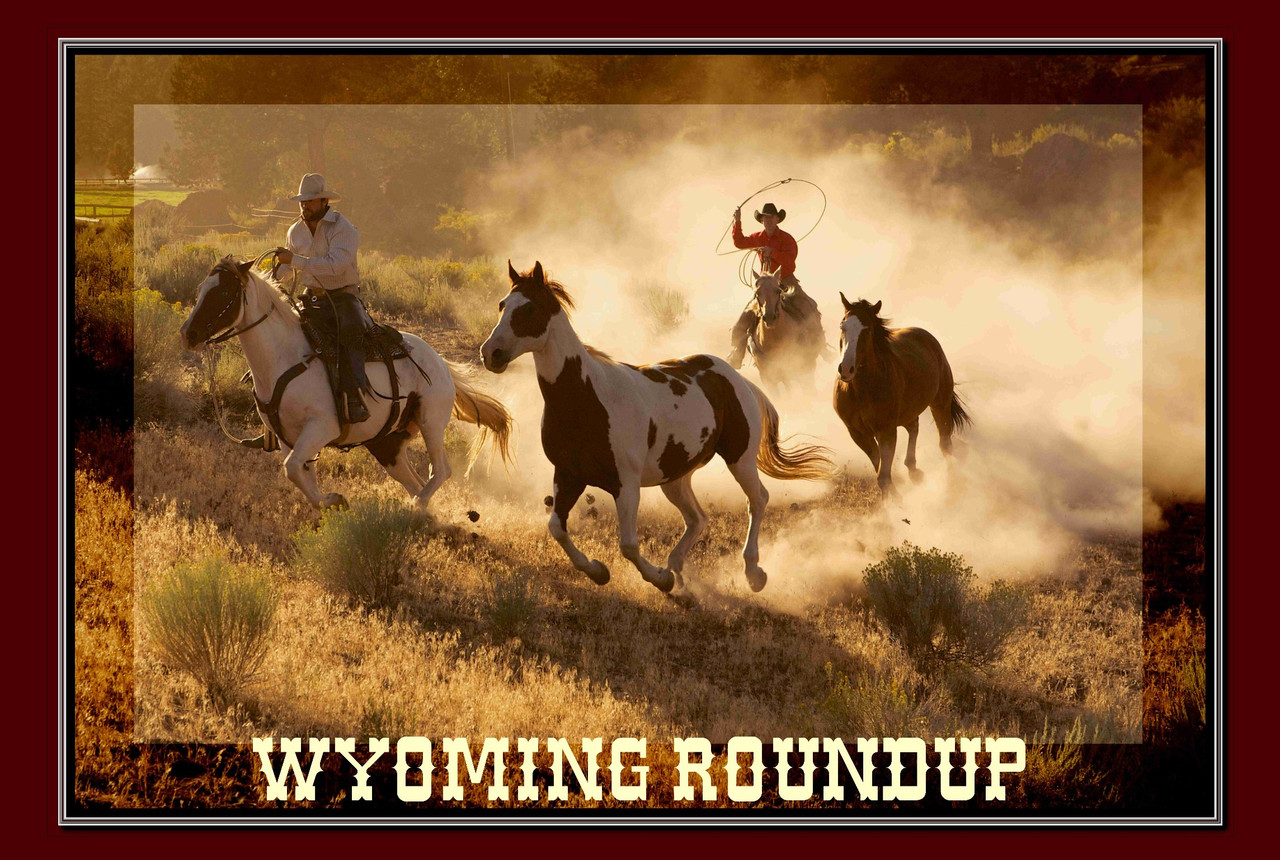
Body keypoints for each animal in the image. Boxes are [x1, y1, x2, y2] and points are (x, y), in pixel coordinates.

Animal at [183, 255, 512, 511]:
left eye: (222, 293)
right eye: (200, 290)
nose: (188, 333)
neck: (284, 358)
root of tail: (440, 362)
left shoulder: (321, 427)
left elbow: (291, 468)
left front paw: (334, 500)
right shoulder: (292, 438)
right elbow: (300, 472)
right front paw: (330, 503)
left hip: (430, 421)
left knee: (440, 471)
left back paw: (417, 506)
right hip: (387, 443)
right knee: (415, 480)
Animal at [478, 259, 829, 591]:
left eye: (529, 308)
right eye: (502, 305)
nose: (490, 353)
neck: (585, 397)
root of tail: (737, 380)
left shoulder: (626, 485)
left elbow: (628, 546)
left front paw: (660, 579)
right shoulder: (568, 475)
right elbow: (556, 528)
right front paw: (599, 571)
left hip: (739, 458)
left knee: (757, 500)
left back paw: (752, 572)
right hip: (675, 477)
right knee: (697, 519)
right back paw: (678, 569)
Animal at [829, 294, 967, 496]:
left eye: (867, 330)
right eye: (842, 326)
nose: (846, 369)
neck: (862, 390)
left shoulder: (886, 430)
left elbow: (883, 476)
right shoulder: (858, 433)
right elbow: (880, 468)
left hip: (940, 404)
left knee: (945, 444)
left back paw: (951, 482)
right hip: (908, 412)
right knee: (914, 427)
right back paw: (914, 470)